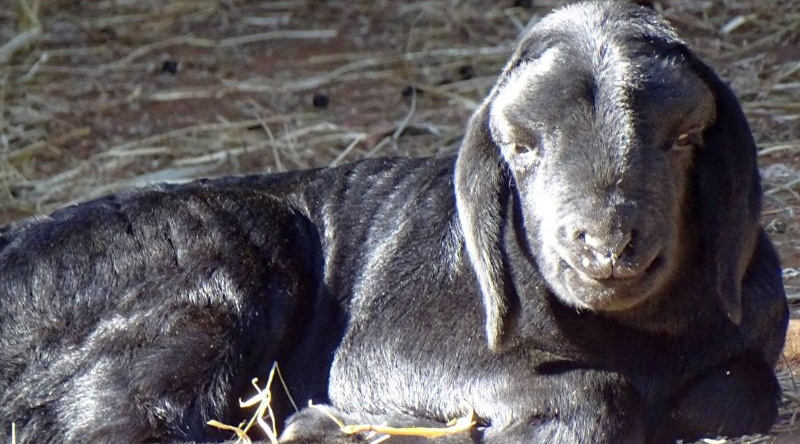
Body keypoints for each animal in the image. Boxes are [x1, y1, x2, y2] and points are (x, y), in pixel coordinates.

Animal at [0, 0, 788, 444]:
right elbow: (595, 391)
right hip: (214, 263)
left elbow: (742, 390)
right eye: (521, 147)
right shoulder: (386, 346)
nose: (604, 243)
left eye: (685, 138)